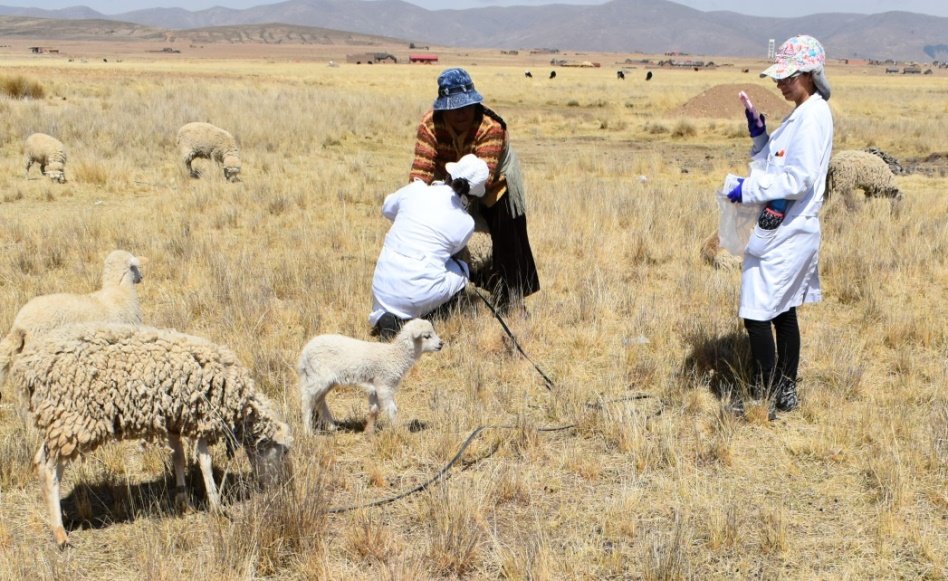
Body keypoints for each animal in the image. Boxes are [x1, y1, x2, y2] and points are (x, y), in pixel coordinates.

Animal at [7, 324, 292, 548]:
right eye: (283, 451)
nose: (281, 486)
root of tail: (26, 367)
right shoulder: (201, 417)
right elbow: (204, 461)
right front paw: (217, 505)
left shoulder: (175, 417)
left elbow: (179, 457)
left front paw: (183, 501)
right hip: (70, 423)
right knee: (48, 469)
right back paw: (60, 534)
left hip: (59, 424)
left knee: (42, 462)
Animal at [296, 318, 444, 436]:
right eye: (427, 336)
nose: (441, 344)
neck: (396, 356)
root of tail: (304, 352)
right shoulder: (384, 384)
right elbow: (391, 409)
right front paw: (397, 431)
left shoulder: (374, 386)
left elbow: (374, 409)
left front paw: (369, 431)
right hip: (317, 376)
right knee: (307, 400)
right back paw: (308, 432)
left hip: (327, 380)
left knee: (319, 400)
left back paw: (332, 427)